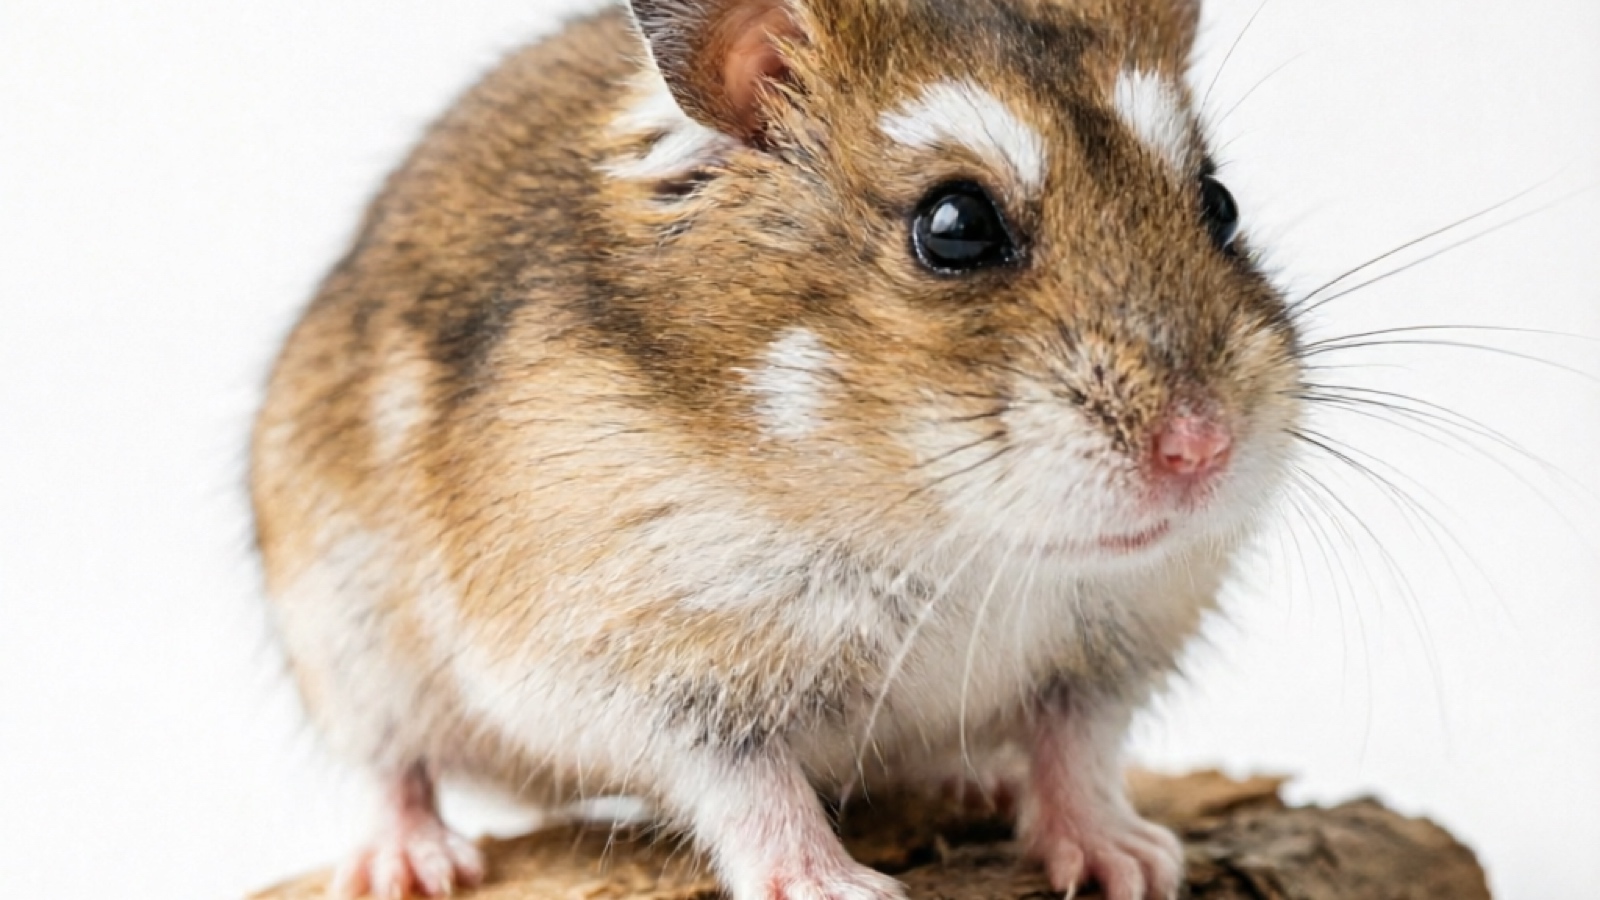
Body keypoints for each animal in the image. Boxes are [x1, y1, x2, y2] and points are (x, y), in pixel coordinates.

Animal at [251, 0, 1303, 898]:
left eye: (1219, 204)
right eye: (955, 226)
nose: (1201, 449)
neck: (958, 547)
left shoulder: (1107, 654)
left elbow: (1076, 753)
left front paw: (1134, 861)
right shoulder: (651, 667)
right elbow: (749, 788)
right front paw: (833, 886)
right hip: (344, 641)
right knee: (394, 767)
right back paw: (408, 863)